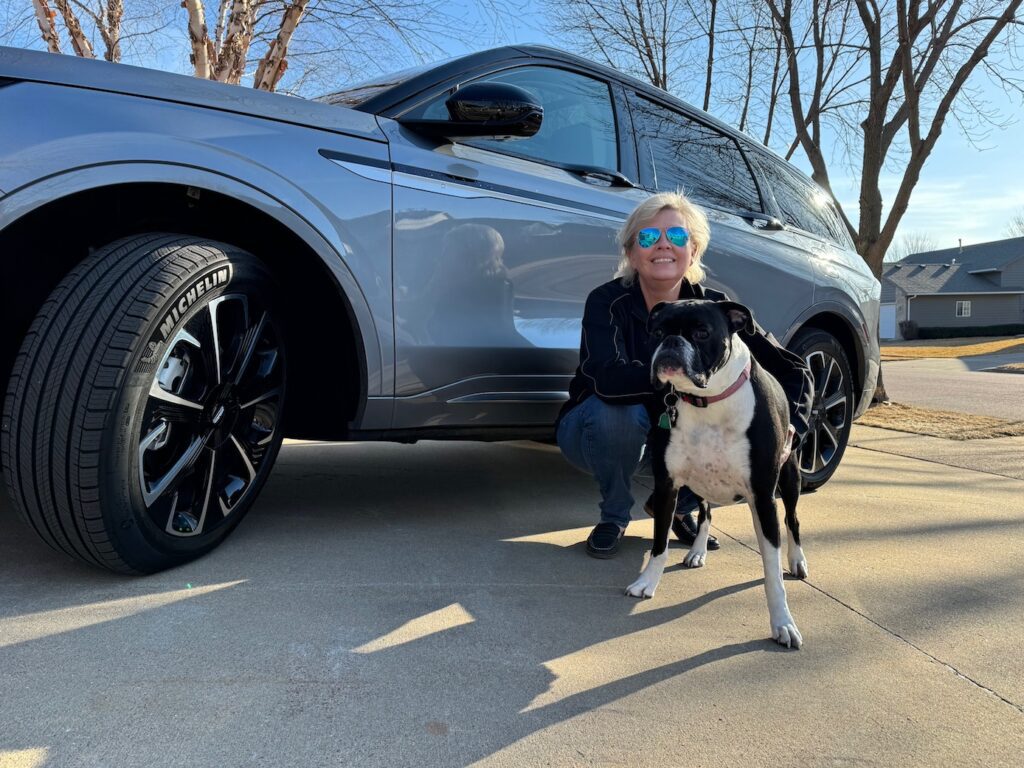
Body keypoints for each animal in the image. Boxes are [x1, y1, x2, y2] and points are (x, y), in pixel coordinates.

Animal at [625, 299, 807, 649]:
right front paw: (647, 582)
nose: (671, 342)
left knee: (792, 519)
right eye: (657, 332)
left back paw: (797, 560)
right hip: (700, 484)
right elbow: (659, 544)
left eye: (701, 332)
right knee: (706, 512)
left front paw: (783, 622)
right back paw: (697, 551)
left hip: (789, 481)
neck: (707, 401)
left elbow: (772, 571)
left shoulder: (763, 497)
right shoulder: (668, 486)